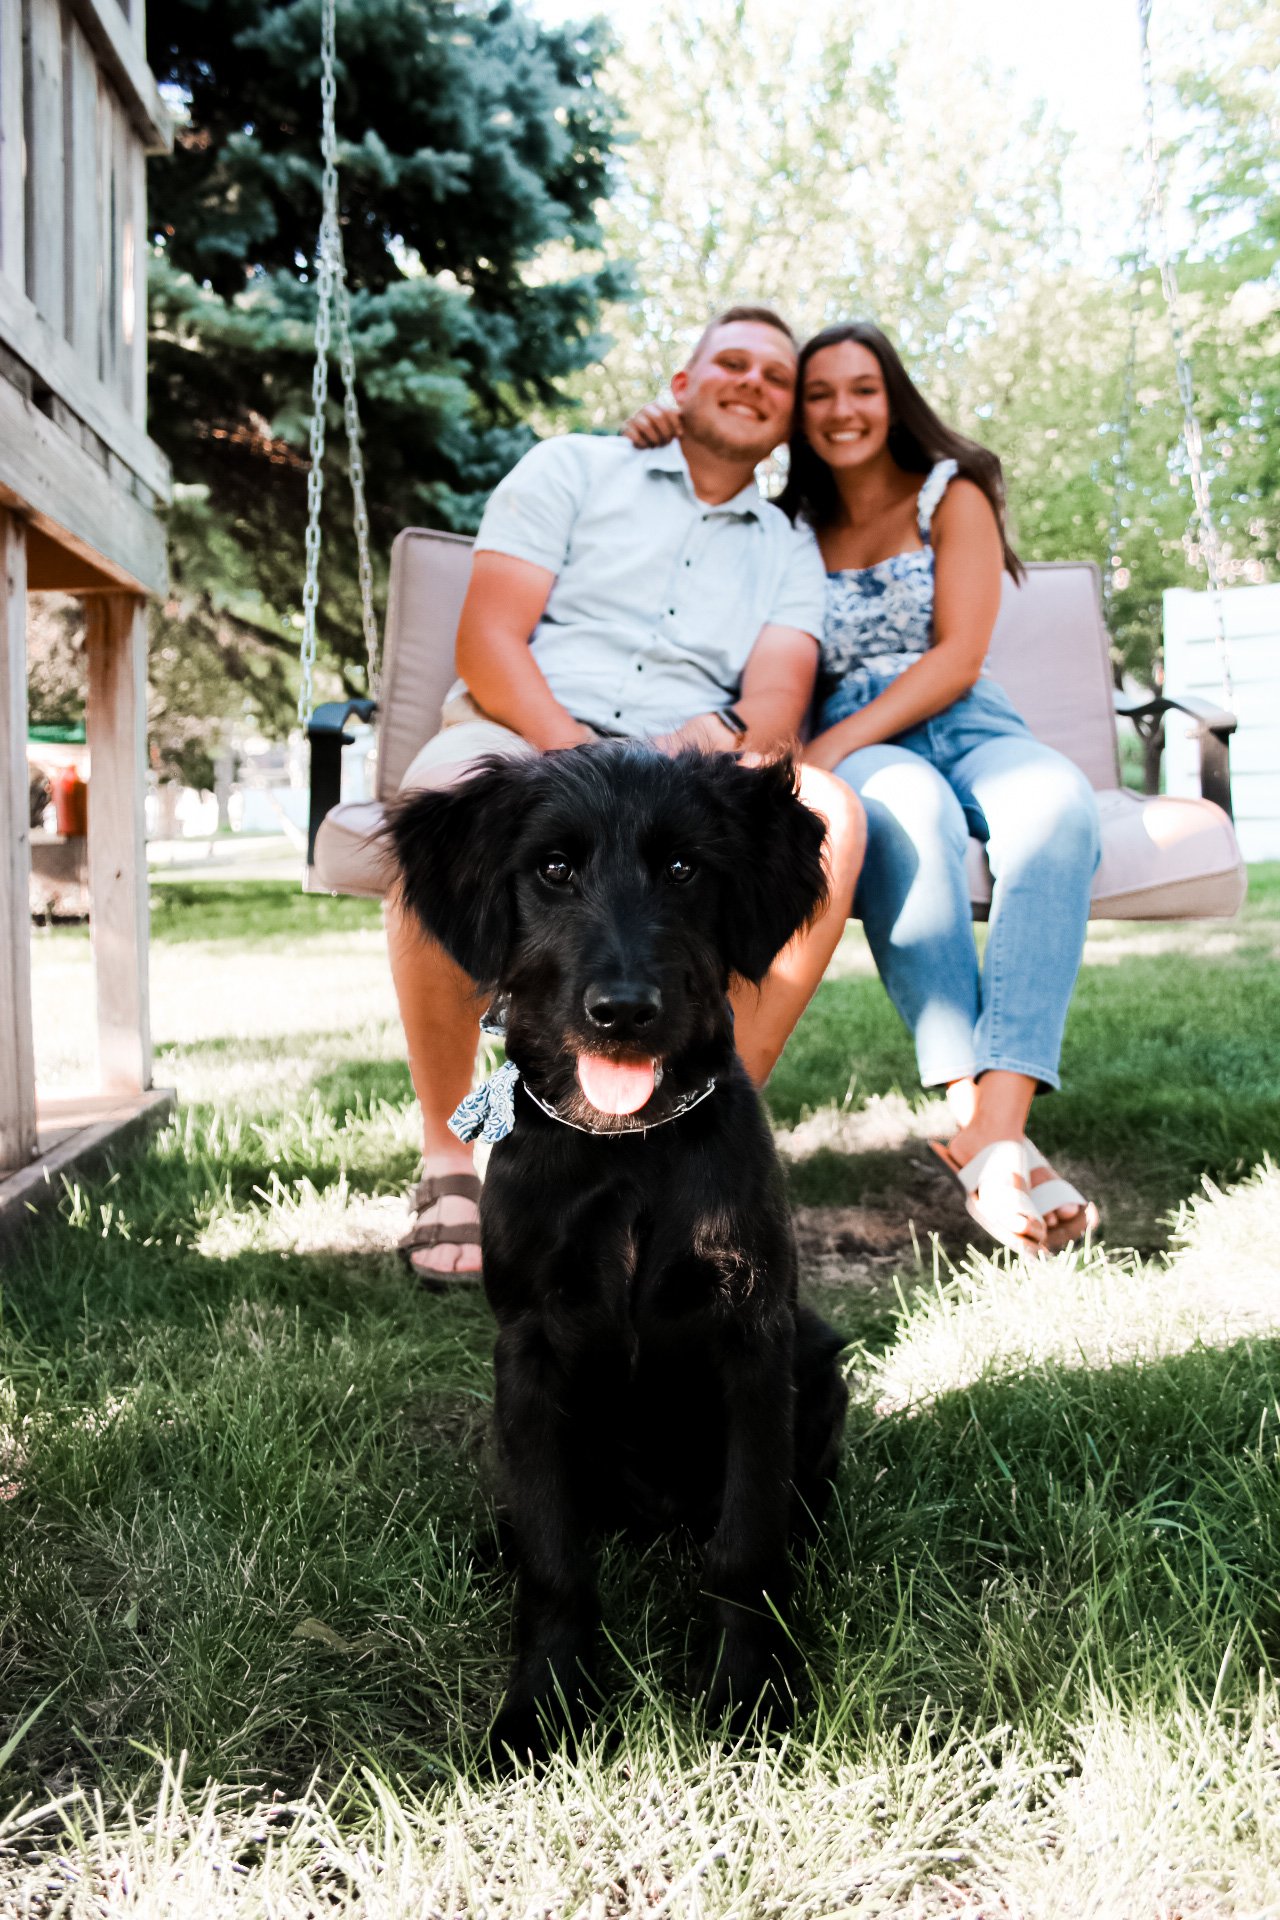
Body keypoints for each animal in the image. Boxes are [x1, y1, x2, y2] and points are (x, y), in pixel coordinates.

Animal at [389, 742, 848, 1758]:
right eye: (554, 868)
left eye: (683, 868)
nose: (624, 1011)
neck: (628, 1148)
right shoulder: (529, 1350)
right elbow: (556, 1560)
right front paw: (541, 1708)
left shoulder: (754, 1338)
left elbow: (744, 1547)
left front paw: (749, 1694)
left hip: (819, 1361)